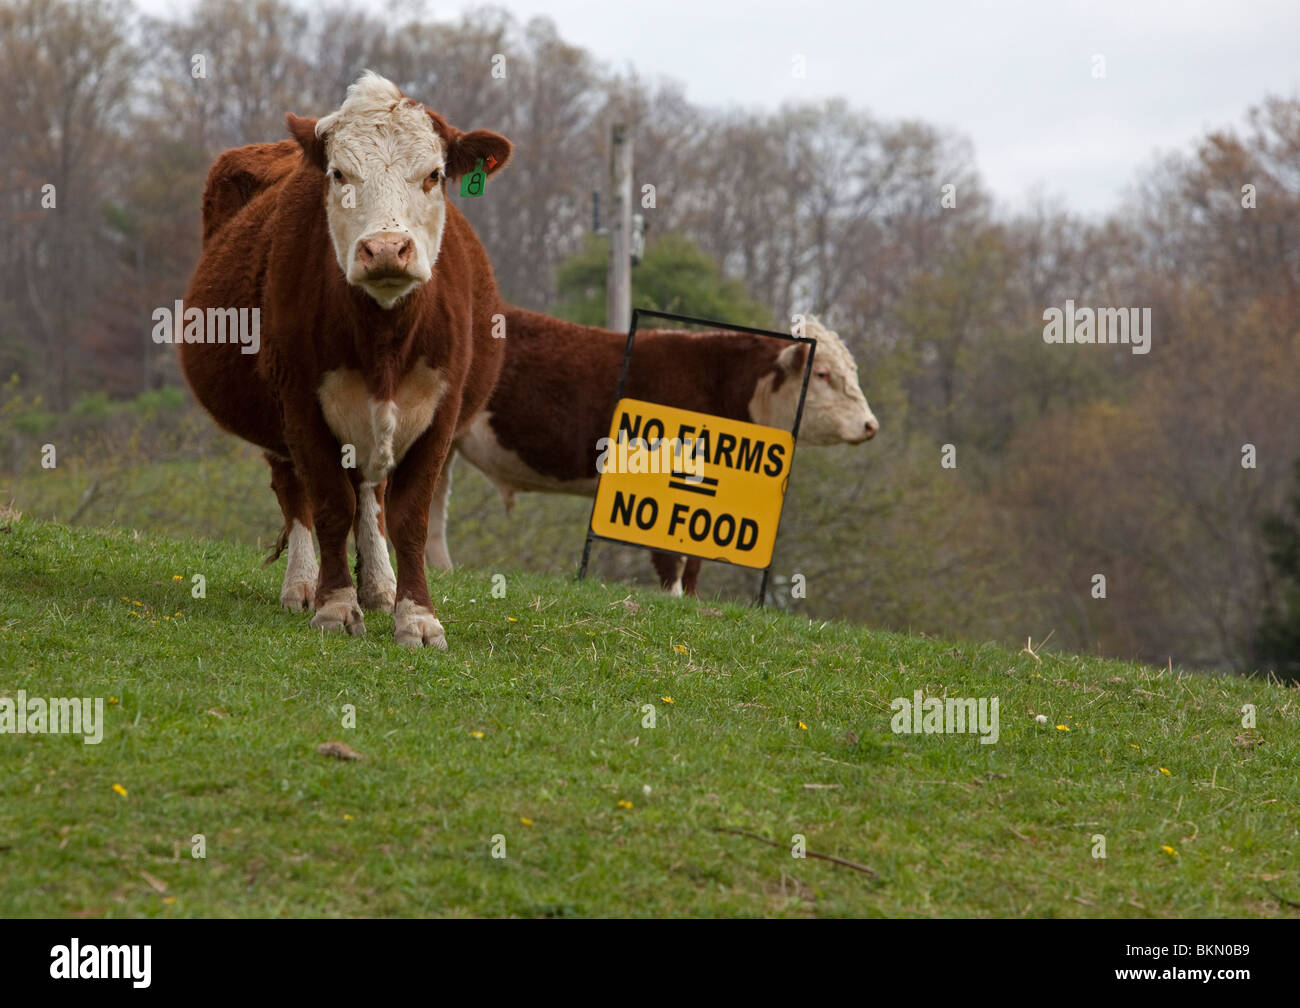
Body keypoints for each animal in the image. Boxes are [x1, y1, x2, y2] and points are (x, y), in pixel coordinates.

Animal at [179, 72, 512, 655]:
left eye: (434, 175)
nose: (386, 249)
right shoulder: (299, 402)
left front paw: (416, 616)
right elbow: (330, 504)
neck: (383, 342)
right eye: (339, 173)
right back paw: (304, 585)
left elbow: (408, 516)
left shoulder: (441, 411)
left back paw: (379, 585)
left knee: (370, 494)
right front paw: (335, 606)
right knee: (299, 494)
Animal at [431, 306, 878, 598]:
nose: (870, 424)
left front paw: (692, 601)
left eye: (853, 371)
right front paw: (674, 598)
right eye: (823, 374)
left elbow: (693, 556)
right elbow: (670, 555)